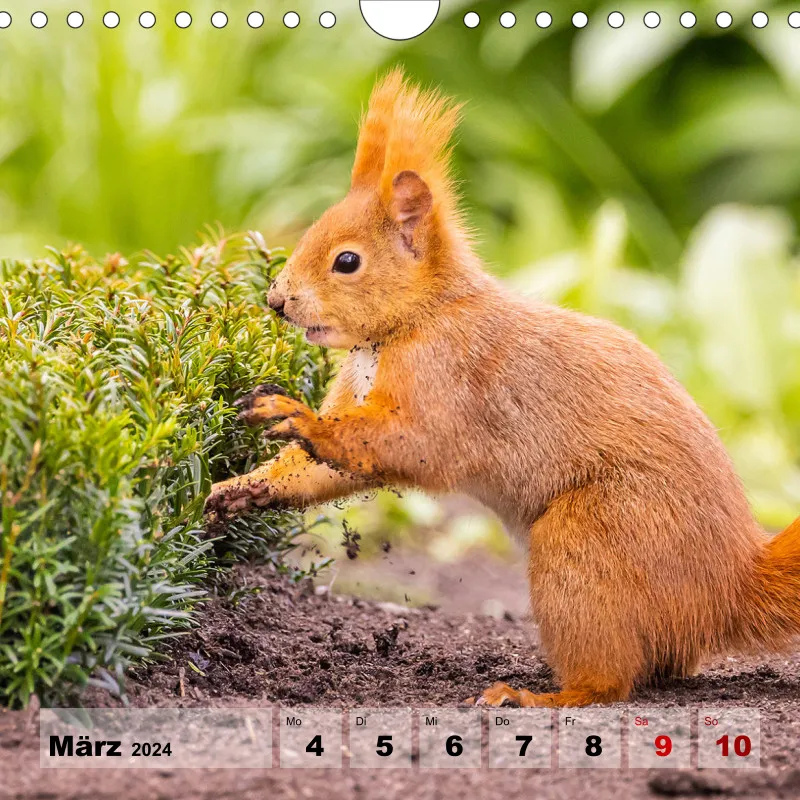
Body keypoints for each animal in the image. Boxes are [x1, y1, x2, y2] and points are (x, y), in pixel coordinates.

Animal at [205, 69, 800, 708]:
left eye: (347, 261)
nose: (275, 301)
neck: (415, 320)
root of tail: (729, 587)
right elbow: (324, 470)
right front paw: (241, 488)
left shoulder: (447, 382)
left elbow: (414, 445)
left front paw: (297, 416)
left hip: (592, 541)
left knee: (609, 684)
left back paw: (537, 697)